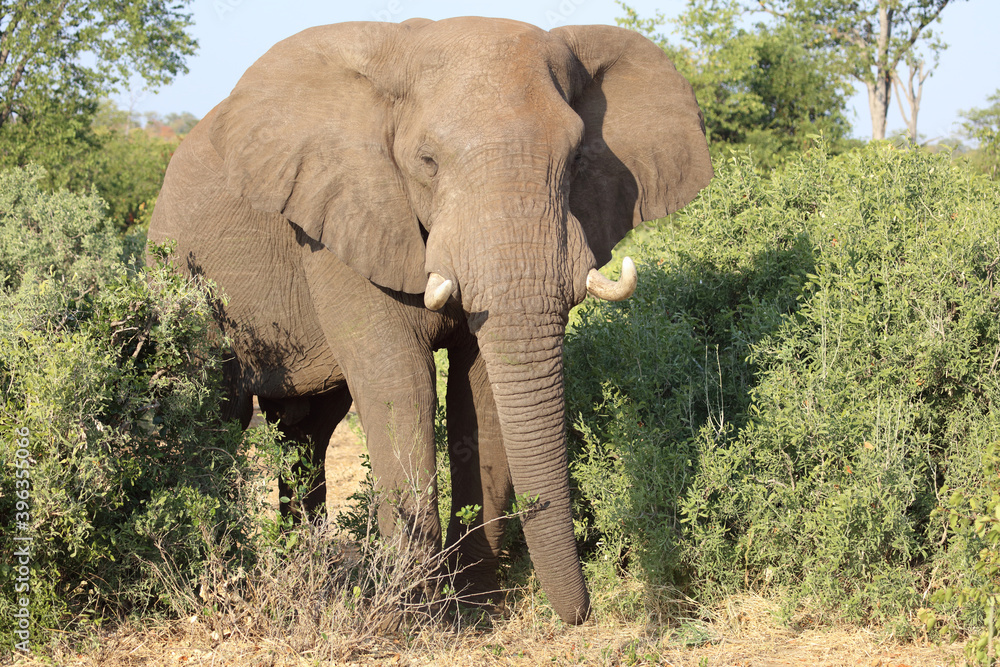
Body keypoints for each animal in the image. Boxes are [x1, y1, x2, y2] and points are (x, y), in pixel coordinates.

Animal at [147, 16, 712, 625]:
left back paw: (306, 561)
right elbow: (401, 384)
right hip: (182, 269)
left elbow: (479, 391)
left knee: (307, 428)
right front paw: (416, 612)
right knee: (221, 411)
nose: (583, 614)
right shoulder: (340, 223)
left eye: (579, 158)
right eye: (427, 162)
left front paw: (476, 599)